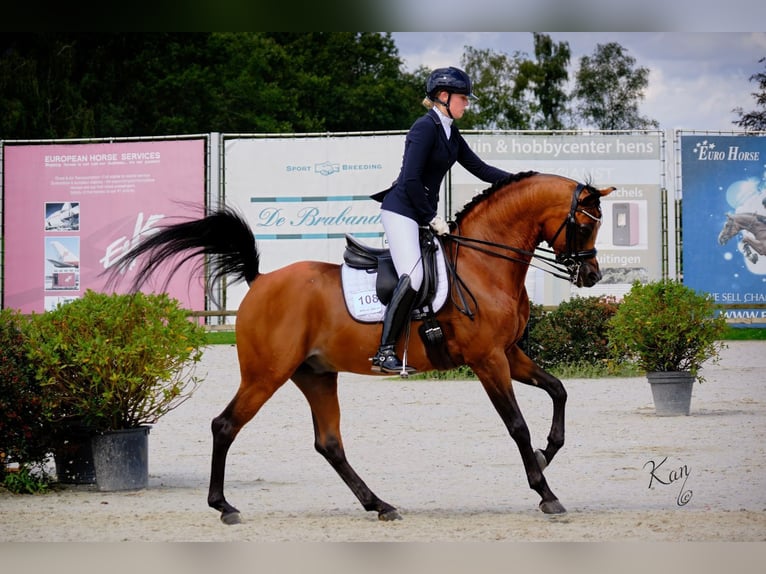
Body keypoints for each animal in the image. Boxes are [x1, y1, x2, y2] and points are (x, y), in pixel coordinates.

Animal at [109, 170, 616, 528]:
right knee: (225, 425)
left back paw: (380, 504)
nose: (591, 276)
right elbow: (516, 425)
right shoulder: (487, 360)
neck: (483, 263)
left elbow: (558, 390)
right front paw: (546, 492)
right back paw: (225, 506)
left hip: (315, 374)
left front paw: (546, 454)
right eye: (583, 226)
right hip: (266, 374)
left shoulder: (508, 354)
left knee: (329, 443)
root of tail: (261, 281)